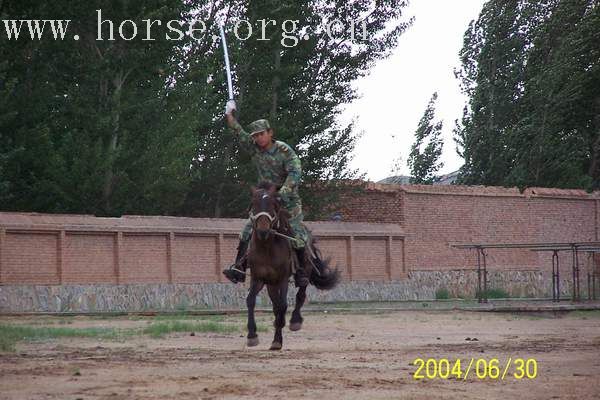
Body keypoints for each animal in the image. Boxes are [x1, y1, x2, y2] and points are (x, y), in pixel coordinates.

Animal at [244, 181, 338, 350]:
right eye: (254, 204)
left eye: (273, 204)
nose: (263, 231)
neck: (266, 248)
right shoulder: (258, 278)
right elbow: (251, 301)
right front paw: (252, 335)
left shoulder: (282, 279)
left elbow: (283, 305)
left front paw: (277, 340)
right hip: (271, 283)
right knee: (276, 305)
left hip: (304, 272)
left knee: (300, 295)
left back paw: (295, 321)